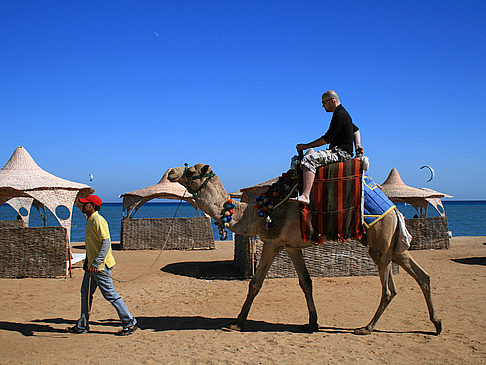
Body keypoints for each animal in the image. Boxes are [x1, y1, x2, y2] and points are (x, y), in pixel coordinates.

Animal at [169, 164, 442, 334]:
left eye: (191, 170)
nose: (171, 171)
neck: (258, 212)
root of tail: (395, 209)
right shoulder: (291, 245)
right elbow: (306, 282)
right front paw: (312, 323)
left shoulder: (273, 242)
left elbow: (255, 283)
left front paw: (237, 322)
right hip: (393, 246)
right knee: (423, 276)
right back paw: (437, 324)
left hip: (379, 243)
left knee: (388, 289)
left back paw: (366, 328)